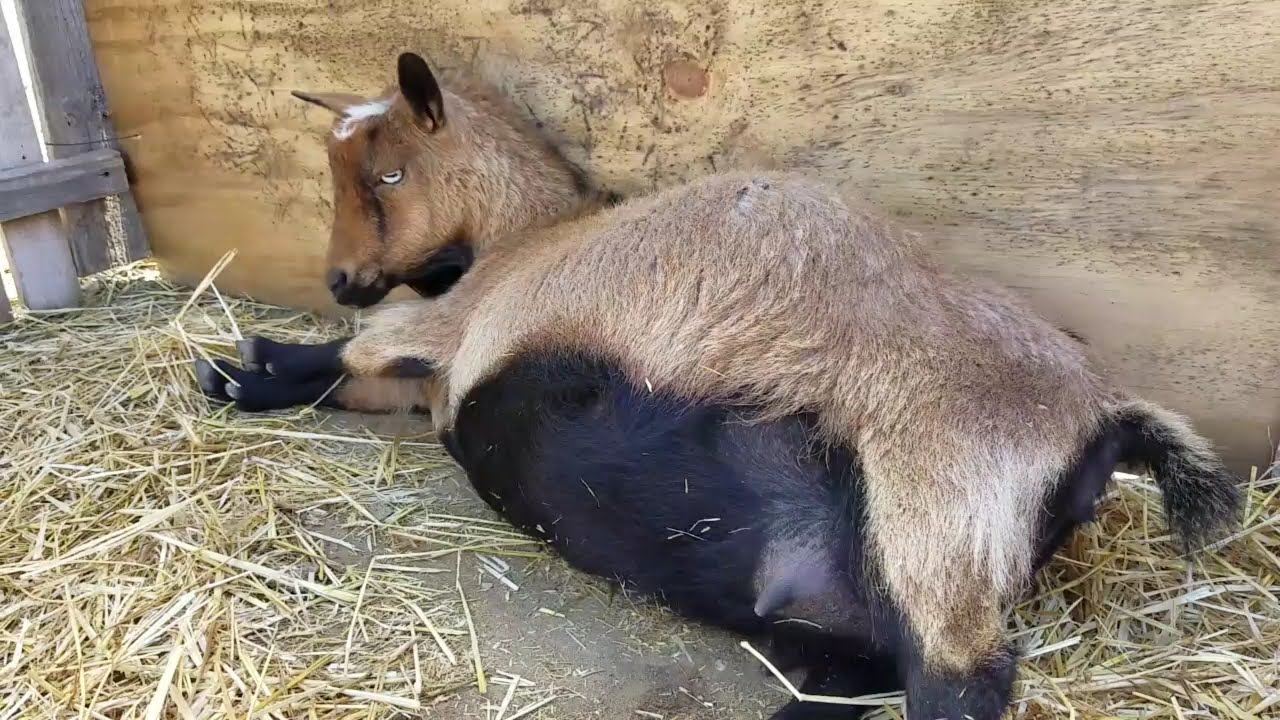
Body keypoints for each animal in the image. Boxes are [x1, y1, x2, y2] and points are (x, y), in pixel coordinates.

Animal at [194, 52, 1242, 719]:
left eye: (390, 175)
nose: (339, 280)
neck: (528, 240)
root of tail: (1100, 419)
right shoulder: (442, 370)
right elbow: (363, 383)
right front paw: (250, 373)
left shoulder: (460, 327)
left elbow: (355, 356)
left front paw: (244, 367)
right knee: (871, 670)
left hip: (935, 509)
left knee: (961, 682)